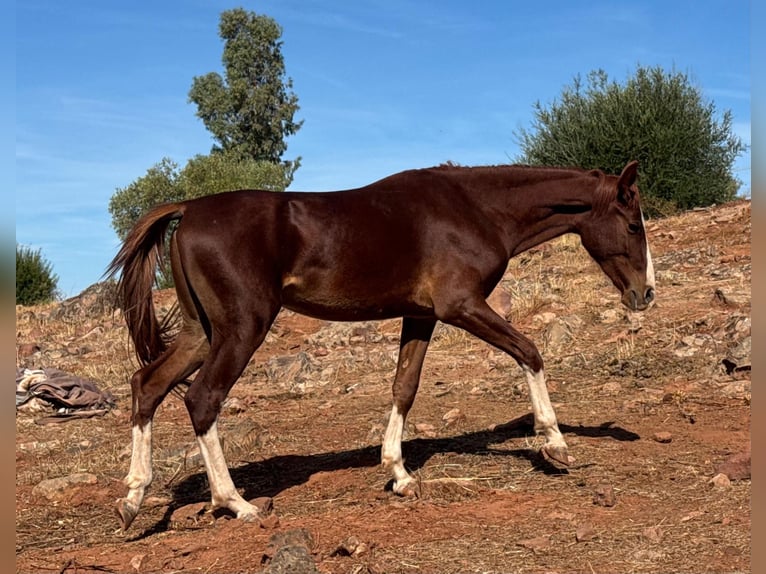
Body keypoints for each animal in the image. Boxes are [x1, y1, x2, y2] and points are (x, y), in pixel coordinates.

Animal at [107, 159, 655, 530]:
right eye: (633, 224)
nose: (645, 294)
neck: (475, 207)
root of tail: (188, 209)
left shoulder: (421, 316)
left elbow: (404, 387)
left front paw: (400, 473)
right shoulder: (461, 306)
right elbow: (530, 352)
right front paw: (555, 445)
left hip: (202, 332)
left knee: (147, 385)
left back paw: (133, 498)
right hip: (242, 329)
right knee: (203, 399)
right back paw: (235, 503)